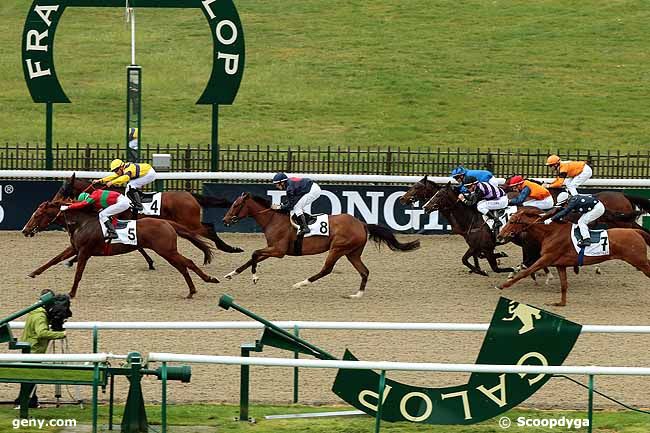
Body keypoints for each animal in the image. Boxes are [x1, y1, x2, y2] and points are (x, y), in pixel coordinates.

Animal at [23, 201, 220, 298]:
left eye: (38, 214)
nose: (25, 230)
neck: (82, 222)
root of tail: (167, 222)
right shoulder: (75, 248)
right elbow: (54, 259)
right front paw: (33, 273)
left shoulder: (85, 252)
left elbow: (78, 273)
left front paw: (71, 293)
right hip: (167, 252)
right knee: (182, 267)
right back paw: (191, 290)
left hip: (166, 250)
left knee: (188, 263)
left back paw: (209, 279)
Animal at [220, 192, 418, 296]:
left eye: (236, 205)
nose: (224, 220)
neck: (273, 219)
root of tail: (362, 223)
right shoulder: (272, 249)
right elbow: (251, 258)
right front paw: (231, 274)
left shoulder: (278, 250)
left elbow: (254, 253)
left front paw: (254, 277)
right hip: (352, 252)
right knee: (364, 271)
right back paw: (357, 294)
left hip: (338, 248)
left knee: (326, 270)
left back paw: (301, 283)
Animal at [496, 207, 648, 306]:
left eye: (512, 221)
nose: (499, 235)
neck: (550, 232)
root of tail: (636, 231)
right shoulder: (560, 264)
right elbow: (564, 284)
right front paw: (560, 303)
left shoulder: (546, 258)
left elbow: (526, 271)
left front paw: (503, 285)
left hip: (639, 261)